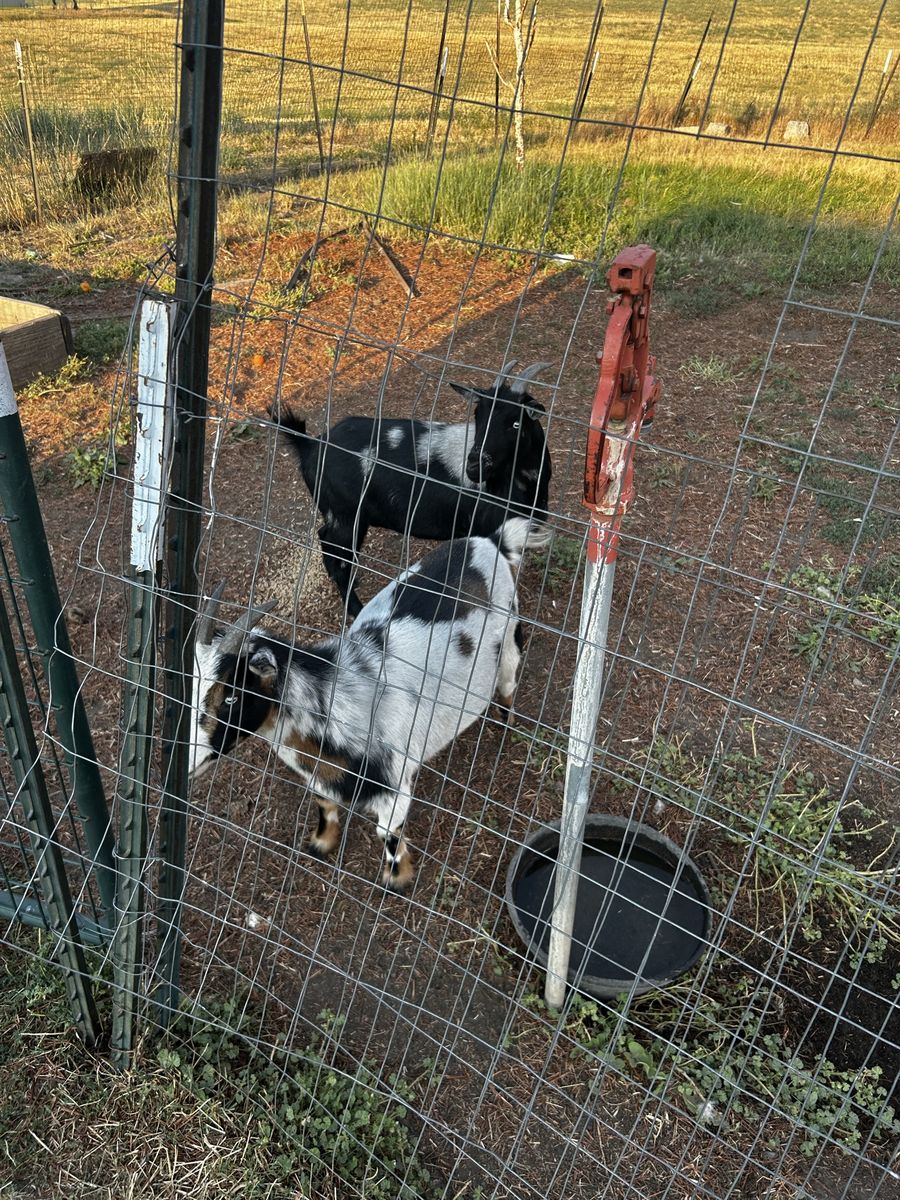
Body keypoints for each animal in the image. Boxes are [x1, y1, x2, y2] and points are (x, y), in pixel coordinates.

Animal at [189, 518, 530, 890]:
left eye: (232, 696)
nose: (190, 759)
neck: (339, 701)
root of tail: (490, 541)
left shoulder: (395, 786)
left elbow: (387, 833)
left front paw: (397, 879)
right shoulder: (320, 776)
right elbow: (324, 804)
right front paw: (321, 844)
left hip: (509, 638)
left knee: (508, 682)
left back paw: (505, 724)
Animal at [271, 360, 553, 618]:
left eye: (516, 423)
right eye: (478, 416)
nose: (474, 466)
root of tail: (310, 446)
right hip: (345, 516)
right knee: (335, 553)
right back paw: (355, 608)